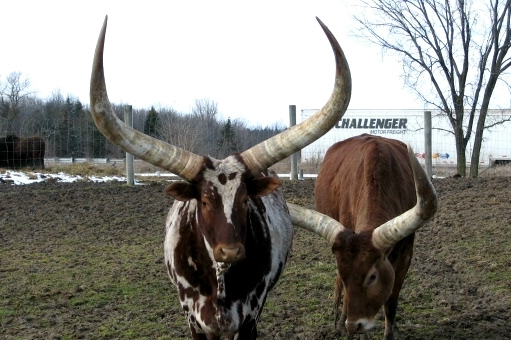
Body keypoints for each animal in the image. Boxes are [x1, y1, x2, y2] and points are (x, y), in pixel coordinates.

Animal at [89, 16, 352, 340]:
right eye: (203, 200)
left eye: (245, 199)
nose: (231, 251)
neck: (220, 279)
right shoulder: (193, 319)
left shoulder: (249, 317)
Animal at [290, 134, 438, 340]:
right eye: (345, 275)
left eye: (372, 276)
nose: (355, 325)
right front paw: (342, 322)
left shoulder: (406, 253)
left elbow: (391, 300)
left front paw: (390, 332)